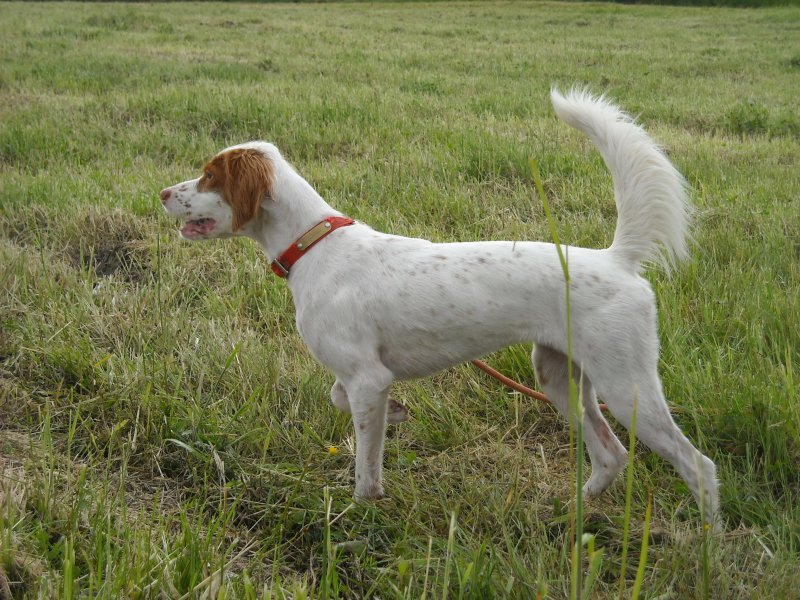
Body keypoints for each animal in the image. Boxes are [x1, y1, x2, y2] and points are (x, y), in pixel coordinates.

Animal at [159, 90, 720, 528]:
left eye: (208, 176)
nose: (162, 192)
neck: (315, 246)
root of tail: (615, 259)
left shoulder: (368, 379)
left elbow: (365, 465)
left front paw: (362, 507)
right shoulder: (362, 380)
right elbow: (339, 398)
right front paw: (400, 415)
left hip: (627, 386)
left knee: (698, 465)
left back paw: (708, 548)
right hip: (559, 377)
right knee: (612, 455)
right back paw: (569, 513)